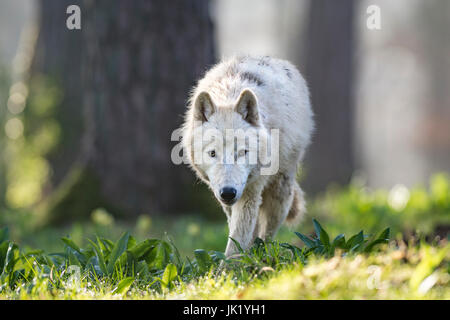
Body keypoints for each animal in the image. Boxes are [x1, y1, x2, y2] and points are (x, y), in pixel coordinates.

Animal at [179, 54, 312, 255]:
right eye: (212, 153)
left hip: (280, 189)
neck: (229, 95)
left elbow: (237, 238)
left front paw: (229, 264)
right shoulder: (229, 197)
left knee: (268, 233)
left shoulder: (250, 190)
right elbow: (237, 231)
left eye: (242, 152)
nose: (228, 193)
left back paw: (263, 254)